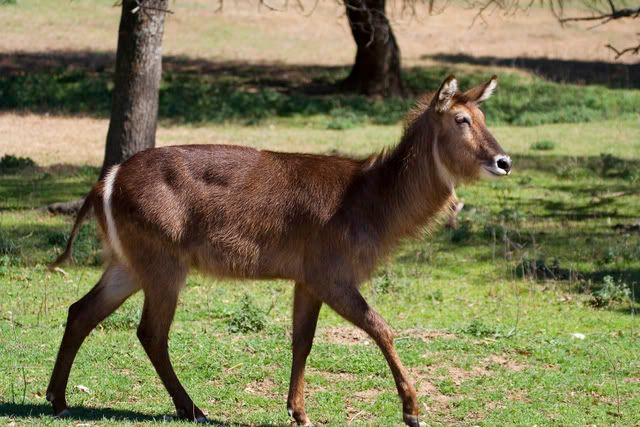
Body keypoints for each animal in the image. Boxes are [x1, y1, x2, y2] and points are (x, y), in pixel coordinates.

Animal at [46, 75, 510, 426]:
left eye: (484, 116)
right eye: (461, 118)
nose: (503, 161)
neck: (371, 200)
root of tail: (105, 182)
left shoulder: (306, 281)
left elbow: (302, 341)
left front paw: (299, 412)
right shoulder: (332, 275)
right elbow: (382, 328)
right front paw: (413, 411)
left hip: (127, 265)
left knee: (81, 311)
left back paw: (58, 398)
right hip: (164, 266)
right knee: (150, 332)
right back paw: (193, 409)